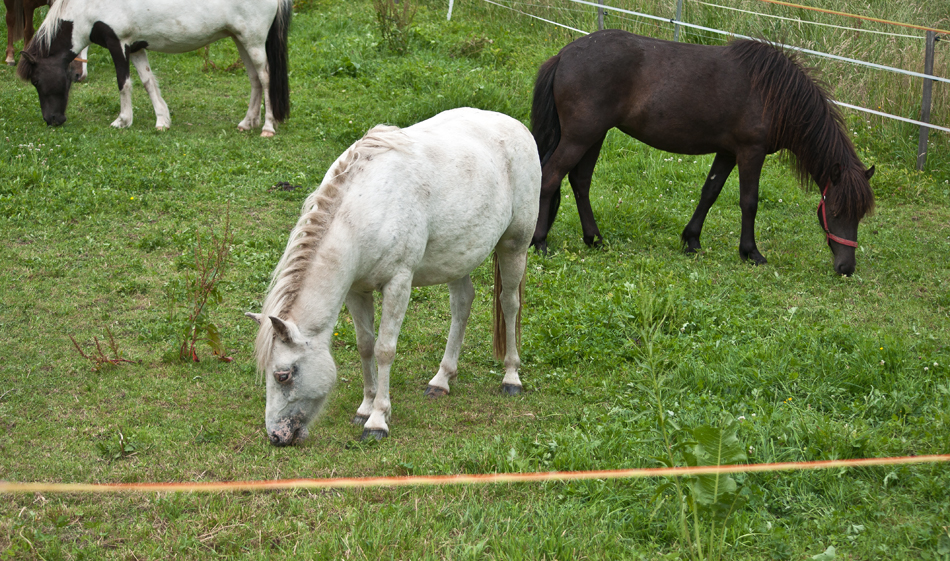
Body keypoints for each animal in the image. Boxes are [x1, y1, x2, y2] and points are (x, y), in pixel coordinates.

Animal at [15, 0, 290, 135]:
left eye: (36, 81)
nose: (52, 120)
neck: (88, 7)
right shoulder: (135, 47)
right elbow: (148, 82)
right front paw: (162, 121)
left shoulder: (118, 44)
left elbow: (123, 83)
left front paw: (122, 121)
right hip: (241, 40)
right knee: (255, 79)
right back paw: (247, 122)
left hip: (253, 41)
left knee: (265, 78)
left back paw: (267, 127)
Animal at [247, 107, 544, 444]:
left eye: (283, 375)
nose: (276, 436)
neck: (364, 209)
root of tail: (517, 126)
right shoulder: (356, 290)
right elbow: (365, 345)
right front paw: (365, 407)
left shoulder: (398, 284)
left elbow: (385, 349)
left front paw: (377, 420)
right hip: (458, 257)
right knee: (462, 304)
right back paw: (441, 380)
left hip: (514, 245)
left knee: (509, 303)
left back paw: (511, 377)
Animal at [532, 29, 872, 274]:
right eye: (835, 211)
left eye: (860, 215)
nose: (846, 268)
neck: (774, 94)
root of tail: (563, 56)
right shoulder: (751, 152)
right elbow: (749, 202)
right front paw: (751, 252)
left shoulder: (728, 153)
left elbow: (709, 193)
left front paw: (692, 240)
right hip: (580, 136)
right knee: (549, 178)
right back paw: (539, 242)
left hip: (594, 136)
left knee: (580, 182)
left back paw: (595, 239)